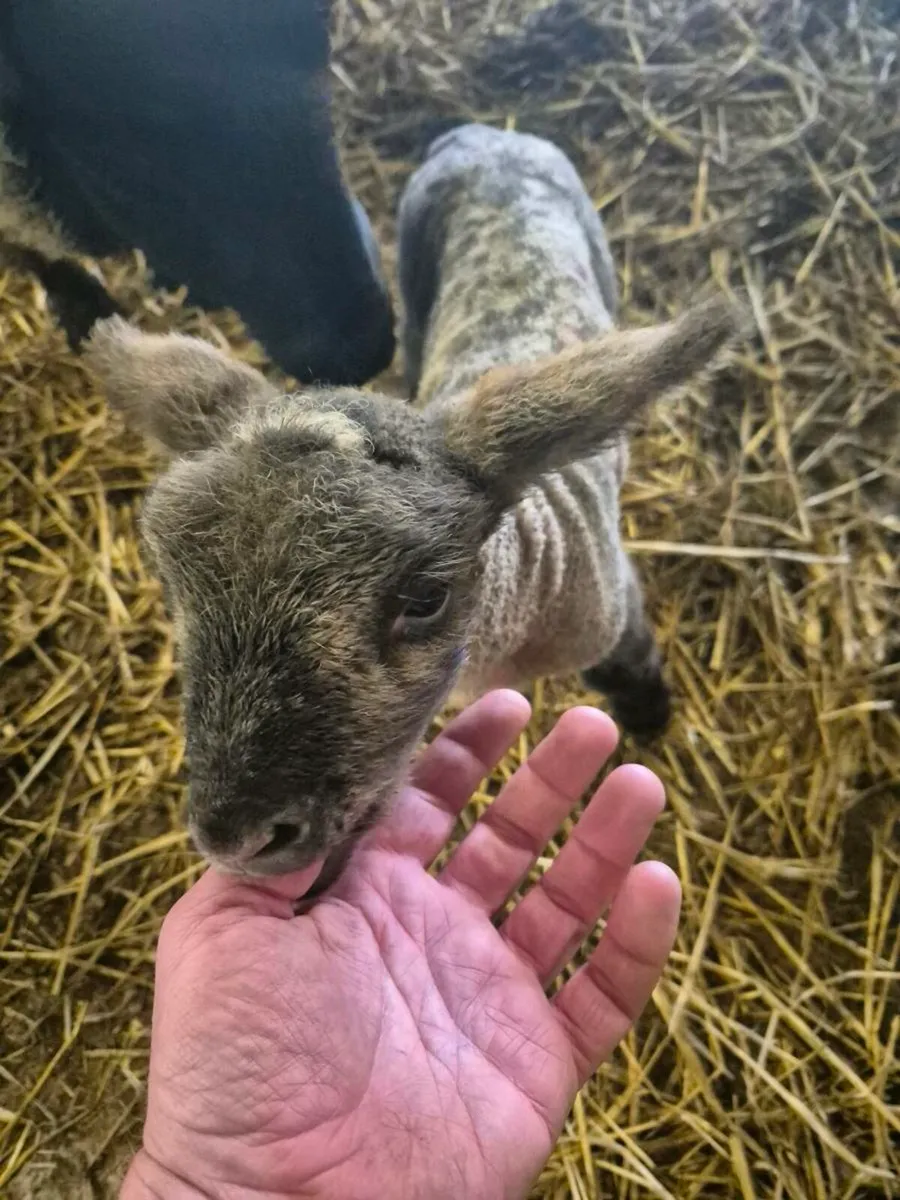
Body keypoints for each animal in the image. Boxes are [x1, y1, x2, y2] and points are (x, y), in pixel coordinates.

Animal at [82, 124, 741, 887]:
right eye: (174, 583)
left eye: (426, 598)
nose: (237, 839)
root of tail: (485, 133)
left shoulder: (609, 602)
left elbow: (632, 655)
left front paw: (651, 717)